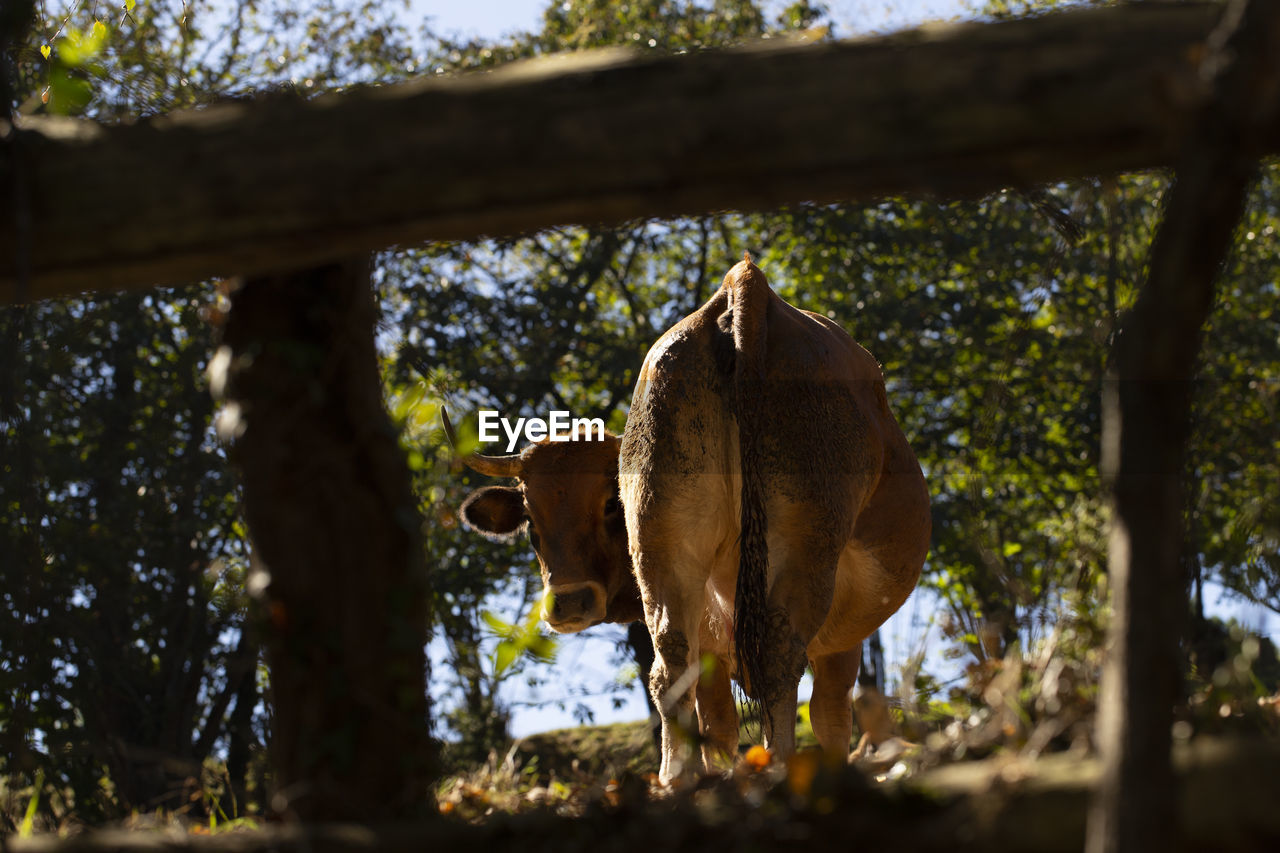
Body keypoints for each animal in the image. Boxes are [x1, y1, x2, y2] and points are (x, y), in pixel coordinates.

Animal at [460, 252, 931, 778]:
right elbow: (825, 718)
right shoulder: (839, 641)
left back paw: (675, 778)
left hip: (665, 544)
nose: (568, 602)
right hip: (805, 547)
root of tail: (743, 285)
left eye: (609, 505)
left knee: (670, 664)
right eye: (530, 519)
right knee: (778, 659)